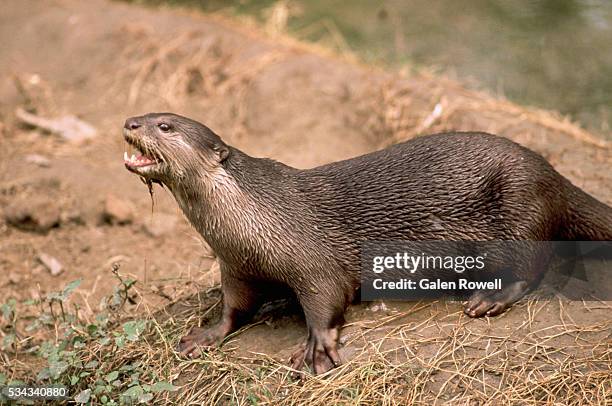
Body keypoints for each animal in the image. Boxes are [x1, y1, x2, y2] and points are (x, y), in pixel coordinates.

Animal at [120, 112, 612, 374]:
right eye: (148, 116)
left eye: (165, 125)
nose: (130, 122)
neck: (253, 218)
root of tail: (552, 174)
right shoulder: (237, 266)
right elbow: (234, 307)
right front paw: (205, 335)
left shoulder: (312, 258)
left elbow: (326, 298)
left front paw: (318, 347)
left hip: (520, 205)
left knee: (532, 265)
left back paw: (488, 299)